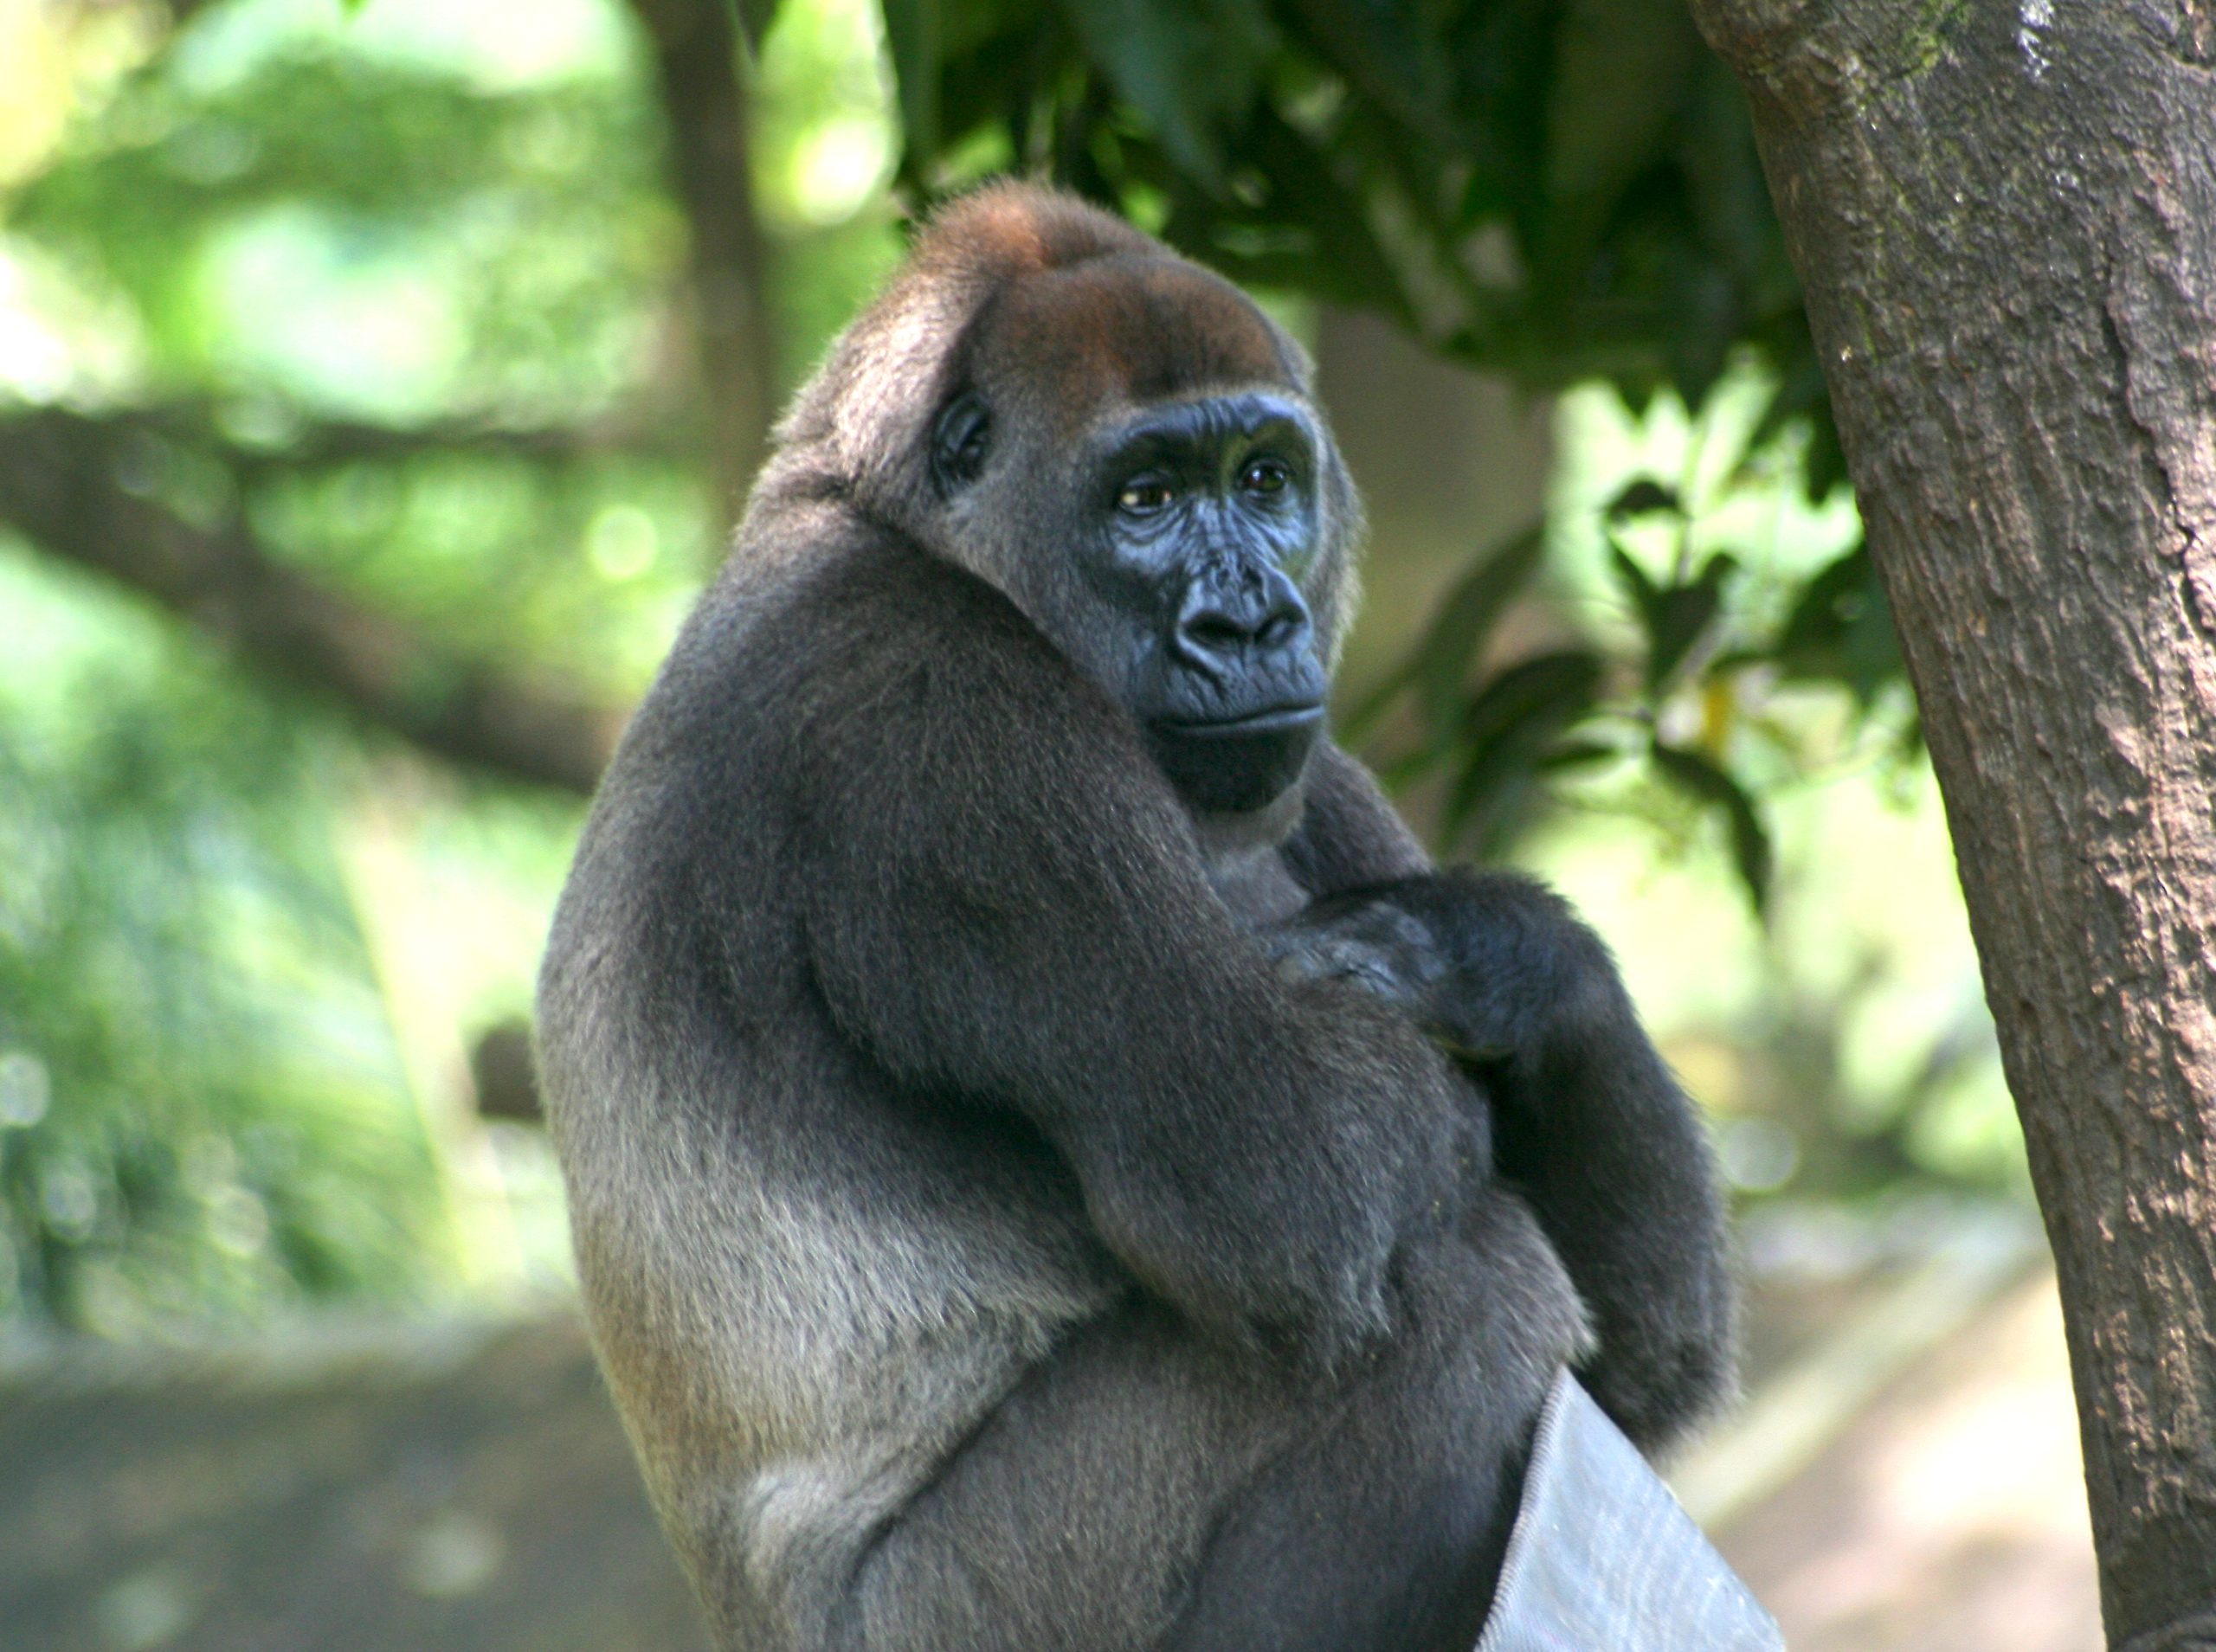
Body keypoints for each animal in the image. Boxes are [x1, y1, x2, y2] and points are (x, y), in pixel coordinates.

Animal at [536, 180, 1728, 1647]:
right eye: (1146, 498)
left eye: (1264, 480)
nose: (1251, 623)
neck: (894, 522)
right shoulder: (940, 721)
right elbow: (1300, 1179)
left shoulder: (1316, 768)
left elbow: (1646, 1368)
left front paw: (1485, 959)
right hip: (955, 1615)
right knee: (1464, 1285)